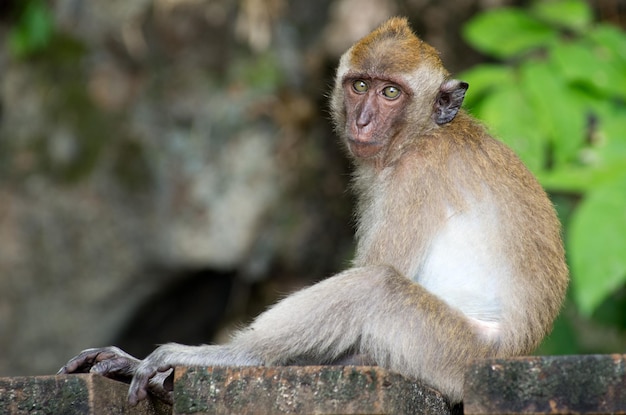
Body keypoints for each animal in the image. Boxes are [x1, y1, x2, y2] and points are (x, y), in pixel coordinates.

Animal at [57, 17, 564, 404]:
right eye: (360, 85)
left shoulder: (415, 178)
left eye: (391, 94)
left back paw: (238, 356)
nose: (363, 120)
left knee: (375, 287)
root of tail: (515, 351)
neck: (424, 134)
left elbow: (377, 281)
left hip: (452, 353)